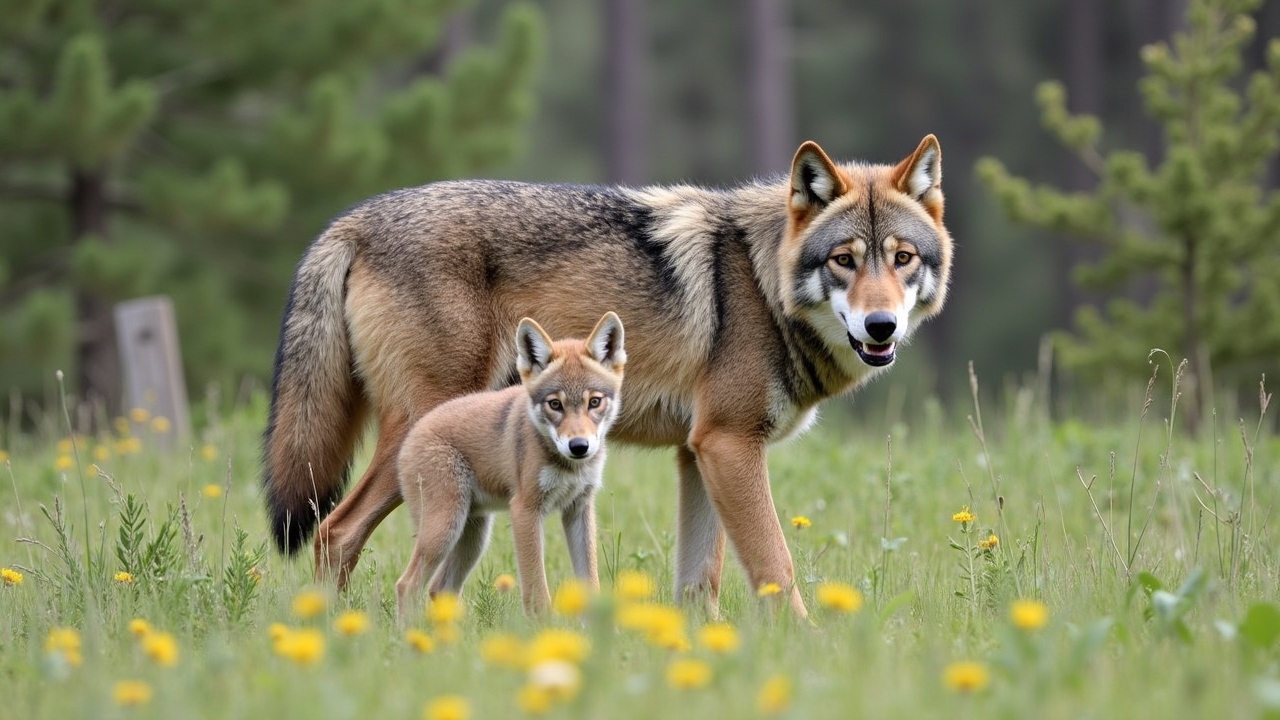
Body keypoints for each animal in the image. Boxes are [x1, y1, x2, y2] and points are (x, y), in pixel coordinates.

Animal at [394, 312, 625, 618]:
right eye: (555, 404)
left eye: (594, 402)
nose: (579, 446)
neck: (568, 468)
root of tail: (413, 432)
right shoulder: (524, 511)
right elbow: (538, 596)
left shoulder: (579, 509)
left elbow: (591, 587)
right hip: (444, 531)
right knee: (406, 585)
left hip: (474, 536)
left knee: (439, 588)